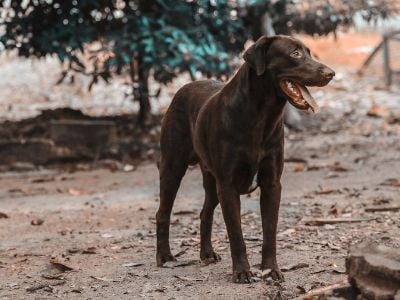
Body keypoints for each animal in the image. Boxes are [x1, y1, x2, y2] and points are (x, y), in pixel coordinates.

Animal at [156, 35, 334, 284]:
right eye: (295, 53)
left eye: (308, 52)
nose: (331, 73)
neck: (261, 115)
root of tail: (184, 88)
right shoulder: (228, 186)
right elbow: (236, 235)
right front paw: (241, 271)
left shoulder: (271, 184)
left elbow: (270, 231)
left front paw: (271, 270)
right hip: (173, 167)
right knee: (162, 213)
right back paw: (165, 257)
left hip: (211, 180)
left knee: (205, 212)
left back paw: (207, 253)